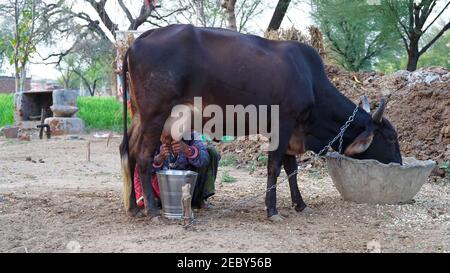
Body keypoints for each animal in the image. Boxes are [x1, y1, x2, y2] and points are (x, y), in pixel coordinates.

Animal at [119, 23, 400, 221]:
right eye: (390, 138)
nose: (398, 163)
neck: (310, 81)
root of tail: (139, 40)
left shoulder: (291, 132)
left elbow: (291, 169)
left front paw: (300, 204)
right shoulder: (283, 124)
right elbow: (275, 167)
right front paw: (272, 210)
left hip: (139, 116)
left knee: (127, 151)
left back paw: (133, 207)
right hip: (155, 115)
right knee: (143, 157)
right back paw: (152, 211)